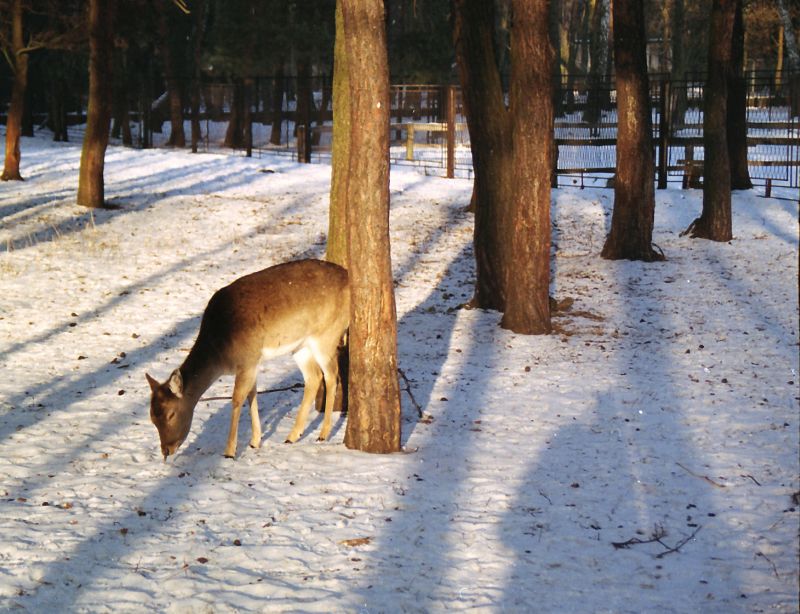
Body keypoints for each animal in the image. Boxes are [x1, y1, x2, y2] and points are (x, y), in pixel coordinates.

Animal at [145, 258, 350, 462]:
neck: (221, 353)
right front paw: (254, 441)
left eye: (171, 414)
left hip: (326, 334)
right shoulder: (252, 363)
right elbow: (252, 393)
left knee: (332, 375)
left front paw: (229, 451)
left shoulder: (247, 359)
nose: (166, 450)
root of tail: (347, 276)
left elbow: (237, 399)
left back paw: (323, 434)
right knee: (313, 377)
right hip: (300, 346)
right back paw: (292, 436)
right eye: (152, 418)